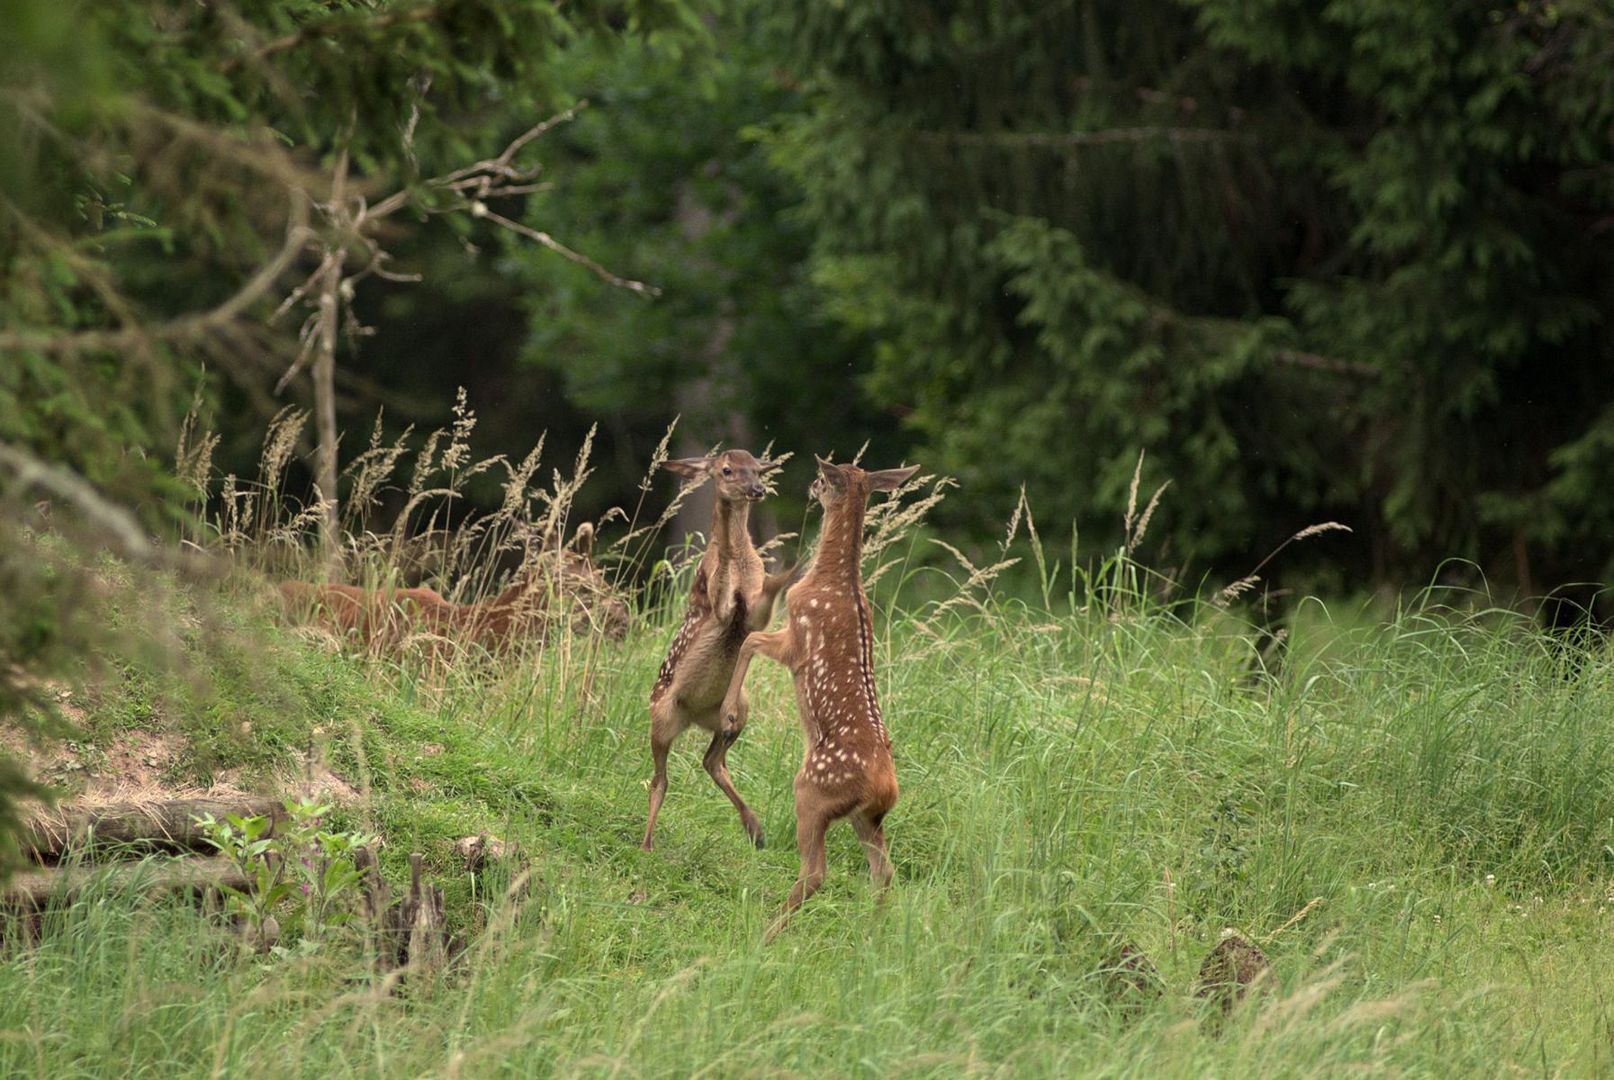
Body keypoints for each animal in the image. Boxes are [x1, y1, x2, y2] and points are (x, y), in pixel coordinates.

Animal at [639, 448, 797, 852]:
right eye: (726, 470)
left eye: (757, 469)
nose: (757, 490)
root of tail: (694, 716)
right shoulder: (719, 608)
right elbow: (725, 594)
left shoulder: (754, 616)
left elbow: (765, 597)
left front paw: (787, 569)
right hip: (662, 715)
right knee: (660, 779)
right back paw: (647, 842)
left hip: (743, 708)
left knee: (711, 760)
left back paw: (755, 828)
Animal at [723, 452, 923, 929]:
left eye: (821, 477)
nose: (811, 487)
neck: (834, 575)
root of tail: (885, 787)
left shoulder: (797, 637)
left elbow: (750, 640)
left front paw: (730, 712)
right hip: (867, 817)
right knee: (884, 872)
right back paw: (872, 930)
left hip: (812, 791)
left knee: (816, 871)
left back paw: (770, 929)